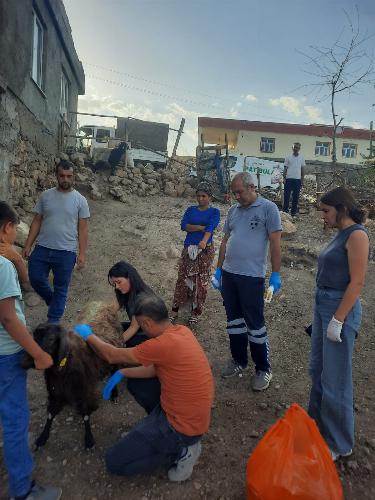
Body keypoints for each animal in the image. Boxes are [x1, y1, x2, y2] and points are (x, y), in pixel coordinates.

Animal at [22, 300, 124, 450]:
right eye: (33, 337)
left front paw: (89, 440)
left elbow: (86, 415)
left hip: (116, 348)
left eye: (51, 339)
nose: (23, 361)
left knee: (115, 370)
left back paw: (114, 394)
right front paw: (42, 438)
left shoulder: (83, 392)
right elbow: (50, 415)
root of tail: (102, 303)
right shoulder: (55, 393)